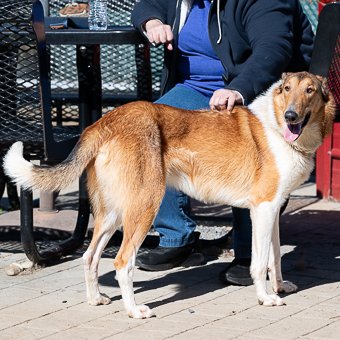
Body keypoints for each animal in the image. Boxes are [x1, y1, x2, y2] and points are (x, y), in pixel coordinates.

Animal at [2, 72, 334, 318]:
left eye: (309, 90)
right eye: (287, 89)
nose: (291, 116)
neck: (279, 129)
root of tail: (104, 122)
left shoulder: (272, 211)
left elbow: (274, 257)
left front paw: (280, 287)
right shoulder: (263, 209)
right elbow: (259, 262)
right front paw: (266, 298)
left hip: (112, 213)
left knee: (89, 255)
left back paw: (96, 299)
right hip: (144, 207)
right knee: (122, 262)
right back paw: (135, 310)